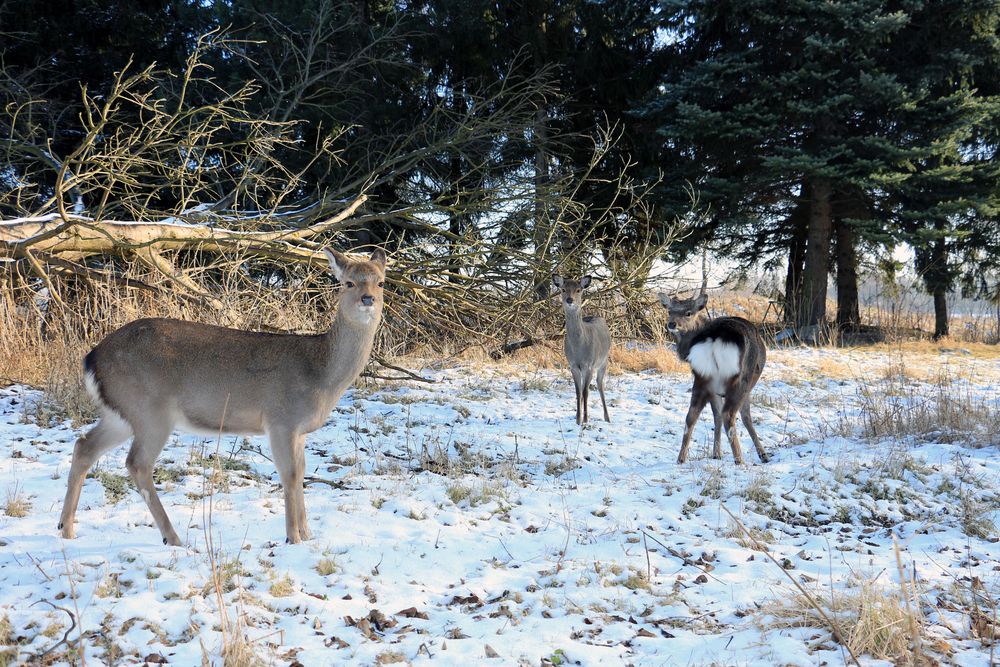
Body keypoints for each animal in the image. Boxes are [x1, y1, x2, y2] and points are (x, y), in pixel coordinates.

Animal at [57, 248, 386, 544]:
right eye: (348, 283)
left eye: (381, 282)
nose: (368, 299)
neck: (320, 374)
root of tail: (92, 358)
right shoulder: (281, 419)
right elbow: (290, 475)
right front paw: (293, 538)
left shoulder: (300, 430)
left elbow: (302, 473)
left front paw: (307, 534)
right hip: (150, 410)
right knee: (137, 463)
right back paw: (173, 538)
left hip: (122, 414)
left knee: (84, 446)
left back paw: (66, 529)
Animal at [552, 276, 612, 422]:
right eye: (563, 289)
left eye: (578, 290)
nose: (570, 300)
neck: (579, 348)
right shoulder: (573, 365)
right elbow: (578, 392)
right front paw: (578, 419)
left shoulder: (589, 365)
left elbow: (585, 392)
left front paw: (585, 420)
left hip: (604, 361)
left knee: (600, 385)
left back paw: (607, 417)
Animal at [660, 284, 768, 468]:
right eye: (669, 310)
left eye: (688, 312)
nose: (672, 323)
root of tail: (714, 338)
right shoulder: (747, 386)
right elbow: (746, 417)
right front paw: (763, 455)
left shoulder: (712, 387)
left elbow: (715, 415)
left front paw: (716, 454)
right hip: (740, 379)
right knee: (729, 415)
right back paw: (739, 460)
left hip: (702, 378)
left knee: (691, 416)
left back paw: (681, 458)